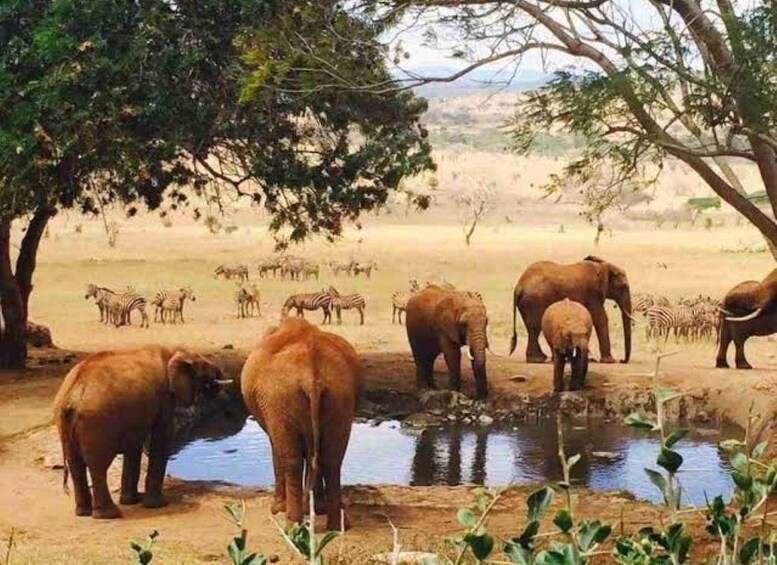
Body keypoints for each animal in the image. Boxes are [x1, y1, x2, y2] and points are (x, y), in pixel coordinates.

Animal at [53, 346, 227, 519]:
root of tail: (70, 396)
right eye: (205, 369)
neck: (173, 351)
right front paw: (158, 505)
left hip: (67, 423)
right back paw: (110, 515)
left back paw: (83, 512)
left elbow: (133, 445)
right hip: (96, 422)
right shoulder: (164, 397)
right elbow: (161, 438)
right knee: (98, 465)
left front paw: (132, 501)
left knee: (75, 464)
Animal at [240, 317, 361, 531]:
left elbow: (277, 448)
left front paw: (278, 508)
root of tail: (311, 375)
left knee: (291, 459)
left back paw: (292, 526)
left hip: (280, 398)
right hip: (341, 396)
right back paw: (336, 526)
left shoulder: (272, 410)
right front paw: (315, 507)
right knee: (332, 458)